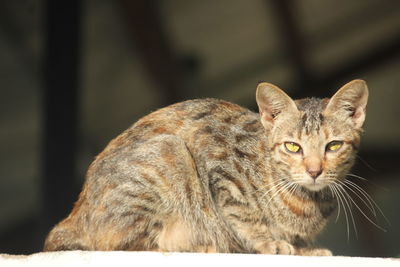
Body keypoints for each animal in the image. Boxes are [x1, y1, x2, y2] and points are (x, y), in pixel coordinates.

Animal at [43, 79, 368, 255]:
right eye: (292, 147)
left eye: (333, 146)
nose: (314, 170)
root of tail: (73, 215)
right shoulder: (217, 161)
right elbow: (244, 215)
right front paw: (268, 242)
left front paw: (303, 249)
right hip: (168, 153)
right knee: (120, 245)